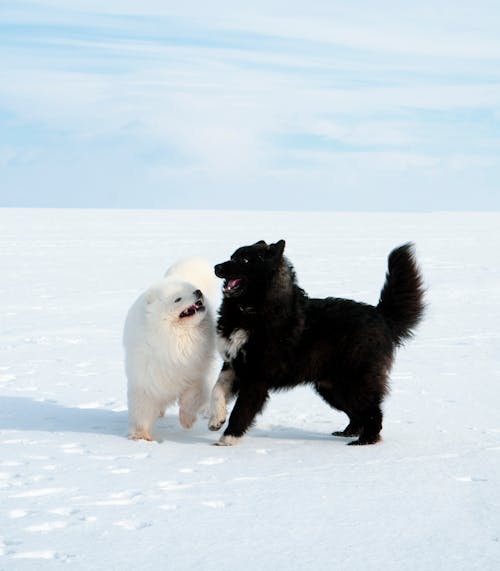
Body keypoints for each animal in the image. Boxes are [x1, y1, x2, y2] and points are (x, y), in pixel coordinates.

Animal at [122, 260, 217, 442]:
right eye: (177, 299)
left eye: (191, 288)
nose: (198, 291)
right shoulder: (146, 380)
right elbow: (142, 410)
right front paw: (141, 436)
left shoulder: (195, 375)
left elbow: (191, 398)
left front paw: (187, 421)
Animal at [209, 241, 424, 446]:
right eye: (232, 257)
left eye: (245, 260)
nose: (216, 267)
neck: (251, 310)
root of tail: (381, 315)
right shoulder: (233, 363)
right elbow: (217, 389)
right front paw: (216, 420)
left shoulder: (256, 375)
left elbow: (241, 410)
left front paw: (228, 438)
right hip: (332, 387)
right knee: (357, 412)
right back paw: (348, 432)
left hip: (355, 381)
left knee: (373, 412)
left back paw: (365, 440)